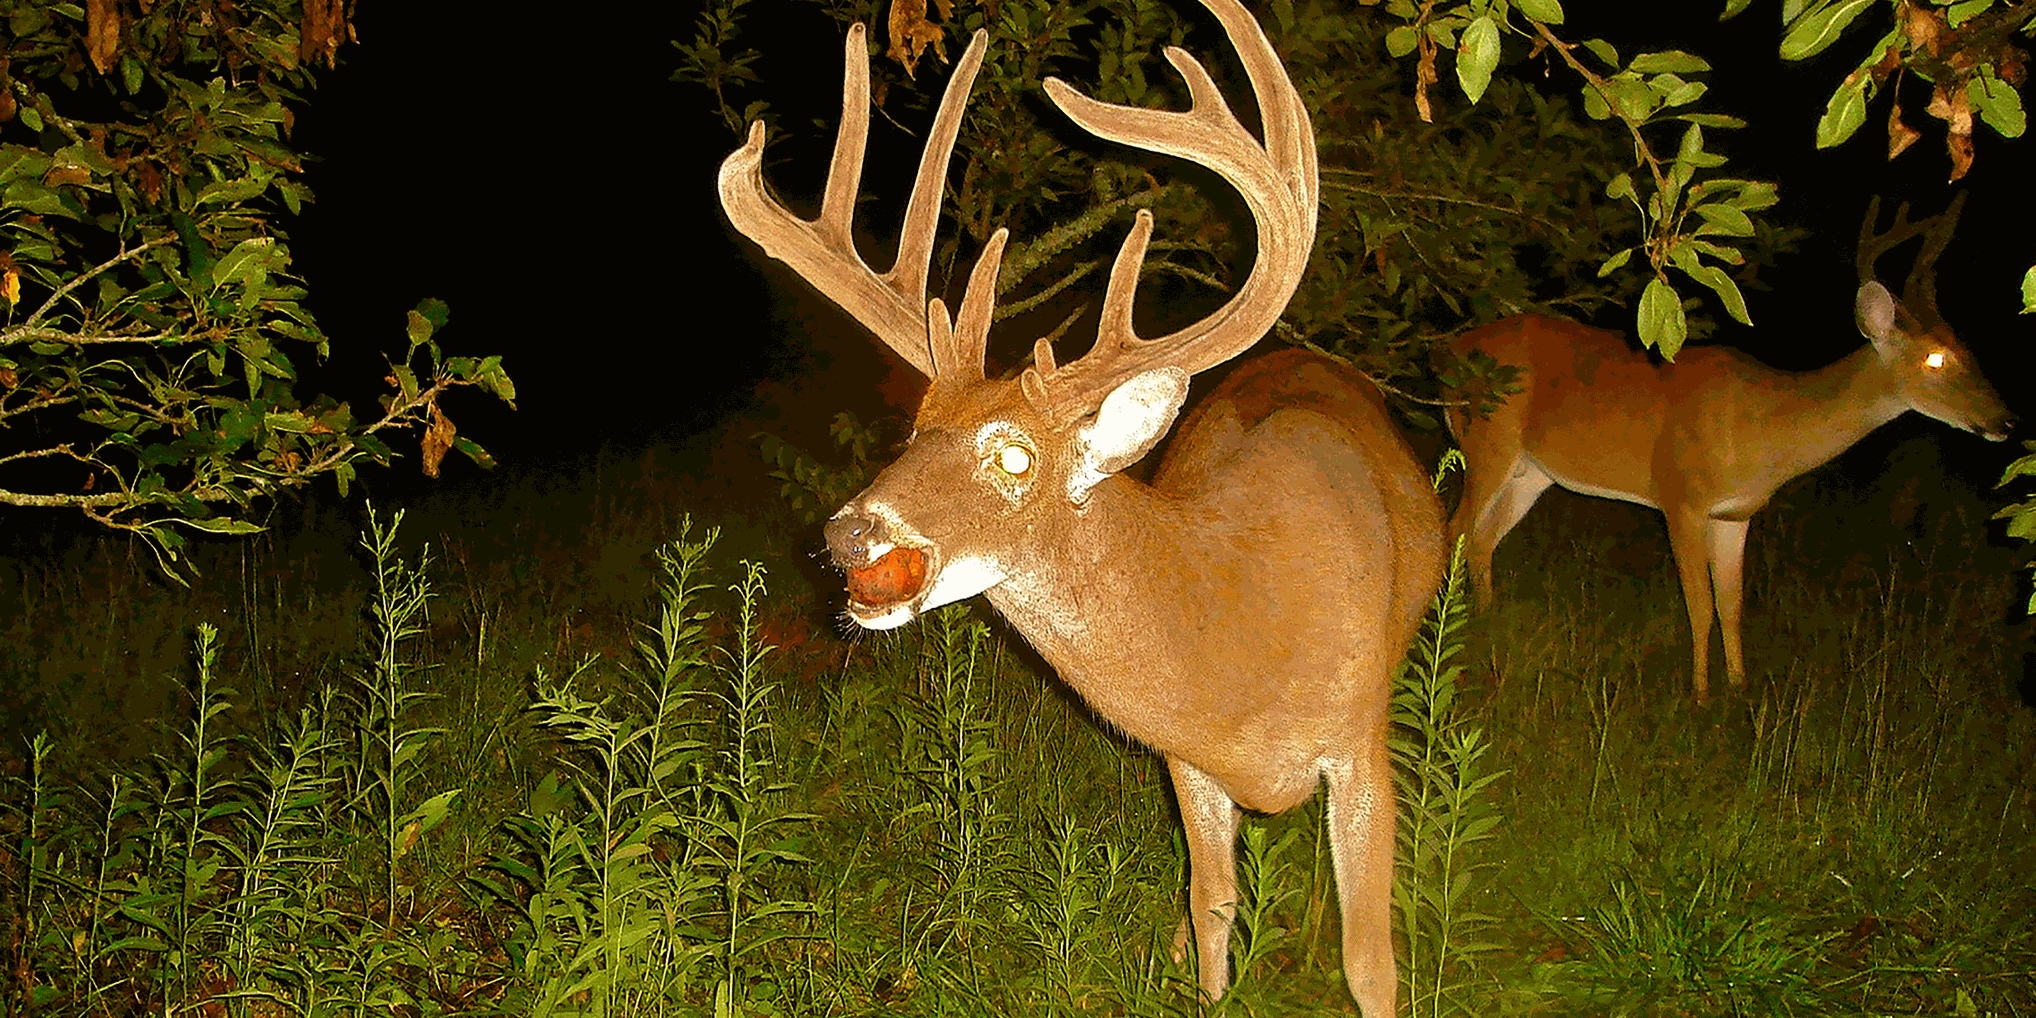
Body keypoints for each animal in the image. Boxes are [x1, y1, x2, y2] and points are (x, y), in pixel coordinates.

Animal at [717, 0, 1443, 1013]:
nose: (848, 531)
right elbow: (1214, 910)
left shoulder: (1362, 745)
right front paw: (1199, 979)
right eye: (914, 429)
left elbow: (1369, 959)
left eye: (1016, 455)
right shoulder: (1187, 762)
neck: (1237, 623)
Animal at [1447, 193, 2016, 704]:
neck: (1763, 430)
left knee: (1481, 540)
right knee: (1455, 528)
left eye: (1968, 348)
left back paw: (1484, 624)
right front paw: (1700, 696)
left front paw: (1739, 689)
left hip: (1532, 473)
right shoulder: (1679, 497)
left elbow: (1732, 604)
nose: (2005, 421)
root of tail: (1453, 351)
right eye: (1935, 358)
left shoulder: (1735, 515)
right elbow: (1699, 604)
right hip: (1487, 439)